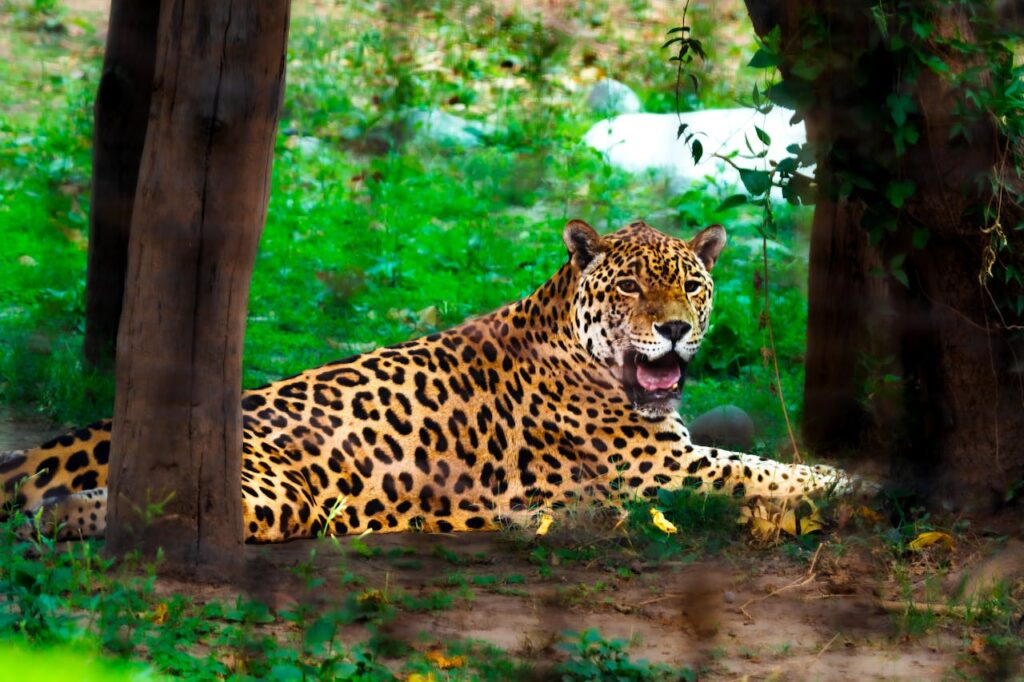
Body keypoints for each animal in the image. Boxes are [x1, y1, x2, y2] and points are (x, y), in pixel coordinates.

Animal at [0, 219, 856, 542]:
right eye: (630, 289)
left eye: (691, 286)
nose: (676, 329)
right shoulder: (657, 469)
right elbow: (759, 469)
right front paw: (848, 481)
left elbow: (758, 459)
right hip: (273, 491)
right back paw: (65, 515)